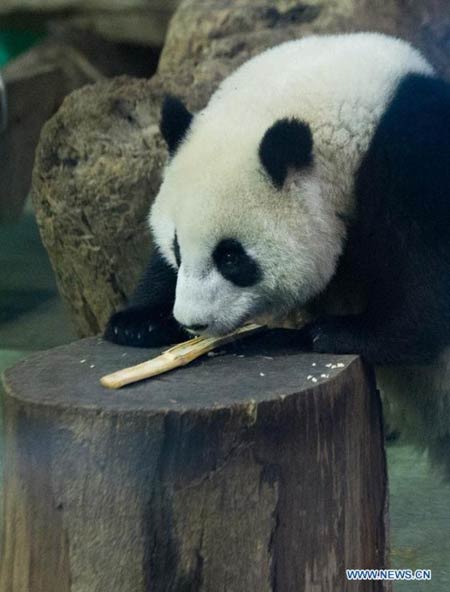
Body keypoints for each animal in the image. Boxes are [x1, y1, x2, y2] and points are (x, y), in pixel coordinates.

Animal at [103, 33, 450, 472]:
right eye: (178, 249)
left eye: (231, 258)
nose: (193, 322)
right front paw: (137, 323)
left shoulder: (414, 158)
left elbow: (424, 285)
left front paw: (337, 332)